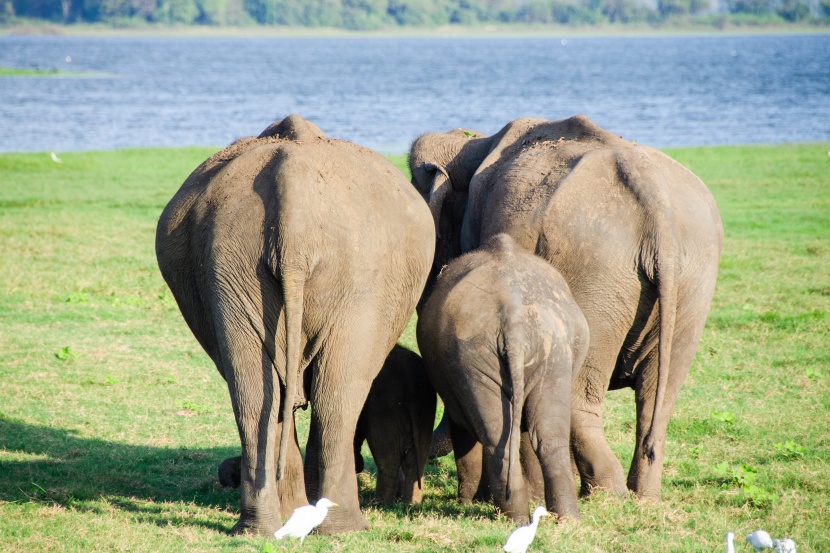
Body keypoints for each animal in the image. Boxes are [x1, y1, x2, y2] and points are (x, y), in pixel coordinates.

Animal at [352, 344, 438, 504]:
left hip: (387, 408)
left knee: (387, 456)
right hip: (425, 411)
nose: (359, 466)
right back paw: (410, 503)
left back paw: (381, 503)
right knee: (418, 455)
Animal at [416, 233, 592, 520]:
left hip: (498, 354)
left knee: (508, 435)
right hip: (540, 353)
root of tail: (514, 318)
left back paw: (523, 516)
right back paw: (556, 519)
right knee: (544, 436)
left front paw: (468, 502)